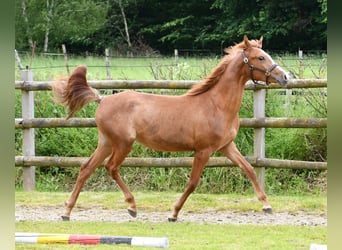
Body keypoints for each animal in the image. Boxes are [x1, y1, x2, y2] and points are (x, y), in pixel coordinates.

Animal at [52, 35, 288, 221]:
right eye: (260, 57)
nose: (285, 77)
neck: (216, 105)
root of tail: (102, 100)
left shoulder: (226, 146)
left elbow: (249, 169)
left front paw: (267, 205)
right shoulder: (203, 150)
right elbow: (193, 183)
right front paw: (173, 213)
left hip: (106, 143)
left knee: (86, 168)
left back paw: (67, 212)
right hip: (123, 143)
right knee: (111, 167)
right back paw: (132, 206)